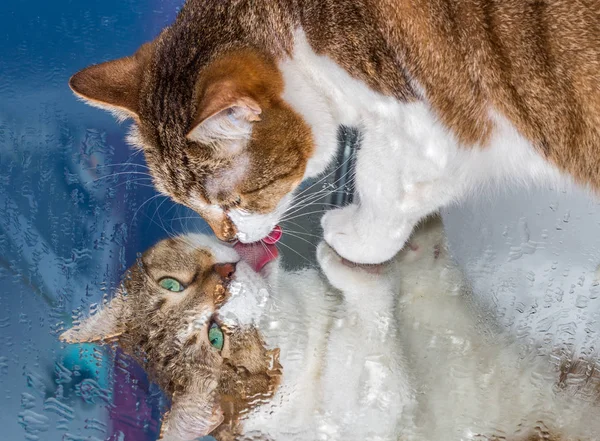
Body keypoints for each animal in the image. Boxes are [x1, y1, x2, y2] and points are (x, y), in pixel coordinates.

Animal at [62, 217, 600, 440]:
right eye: (216, 338)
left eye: (173, 283)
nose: (228, 274)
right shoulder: (380, 405)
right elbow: (376, 322)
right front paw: (342, 256)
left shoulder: (439, 305)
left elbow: (426, 276)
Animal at [69, 0, 600, 264]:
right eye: (186, 205)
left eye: (237, 201)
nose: (232, 241)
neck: (301, 29)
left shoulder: (425, 124)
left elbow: (380, 181)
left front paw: (359, 238)